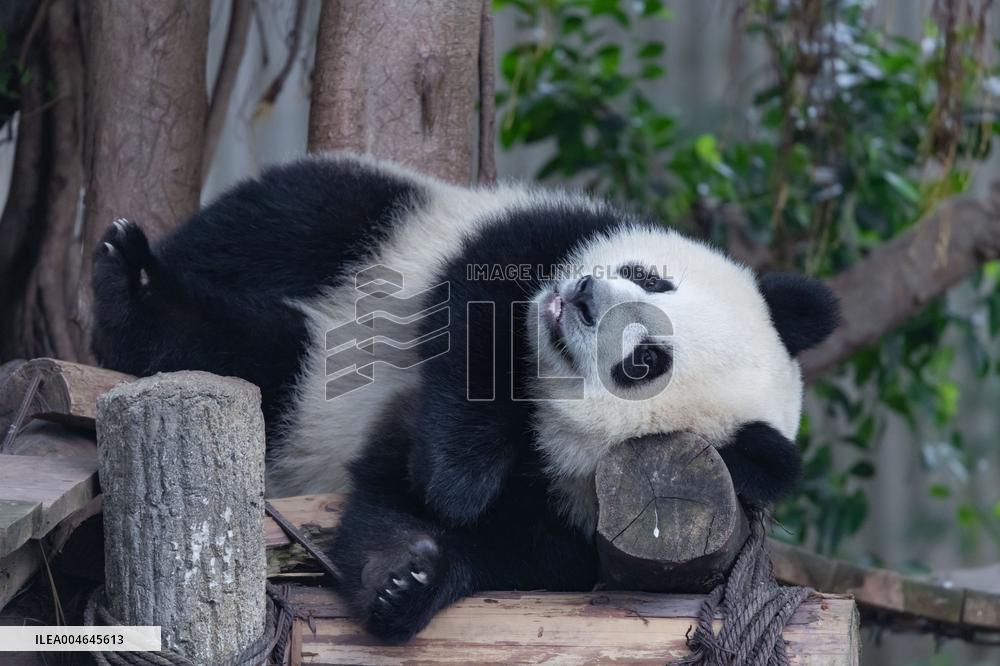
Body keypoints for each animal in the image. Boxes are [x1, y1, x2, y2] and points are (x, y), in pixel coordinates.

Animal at [91, 153, 839, 641]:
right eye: (651, 278)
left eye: (644, 363)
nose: (585, 296)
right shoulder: (533, 229)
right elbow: (483, 294)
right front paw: (456, 471)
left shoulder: (570, 513)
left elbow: (467, 536)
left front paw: (407, 578)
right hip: (385, 226)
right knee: (292, 220)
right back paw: (131, 281)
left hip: (289, 383)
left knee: (250, 352)